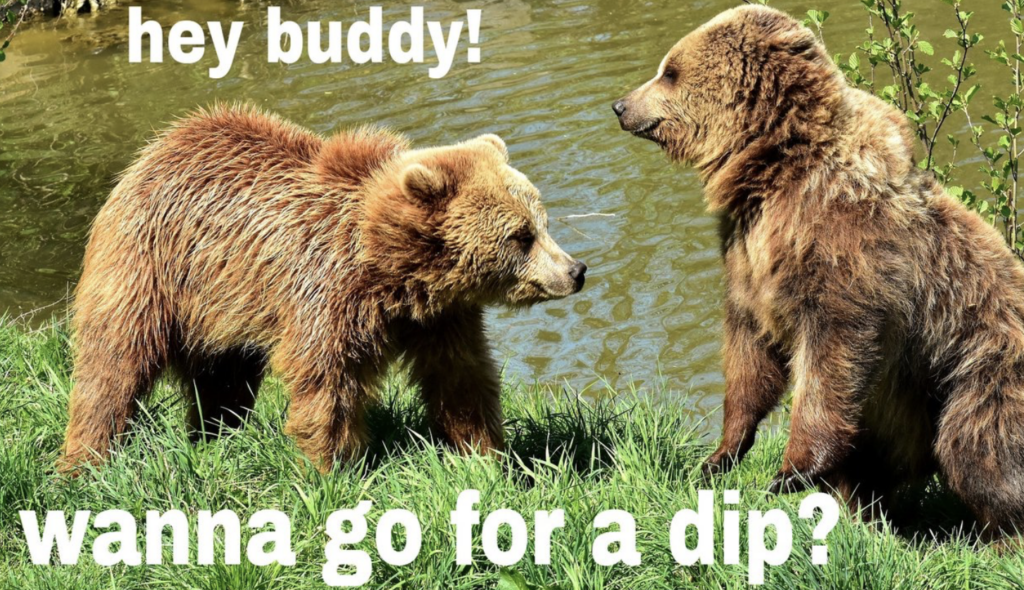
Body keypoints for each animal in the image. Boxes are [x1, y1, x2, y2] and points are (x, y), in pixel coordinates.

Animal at [62, 104, 586, 472]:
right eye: (521, 235)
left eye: (543, 222)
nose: (575, 270)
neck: (394, 274)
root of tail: (155, 149)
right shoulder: (325, 293)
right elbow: (326, 385)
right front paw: (328, 469)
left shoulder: (440, 318)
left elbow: (461, 379)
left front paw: (486, 456)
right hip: (149, 267)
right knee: (113, 365)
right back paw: (85, 461)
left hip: (221, 305)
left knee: (223, 379)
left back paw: (215, 435)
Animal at [614, 5, 1024, 538]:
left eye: (670, 71)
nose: (621, 105)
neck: (774, 173)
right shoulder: (748, 254)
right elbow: (749, 351)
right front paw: (721, 453)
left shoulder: (843, 250)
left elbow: (834, 353)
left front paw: (789, 472)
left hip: (977, 368)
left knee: (977, 449)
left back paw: (997, 534)